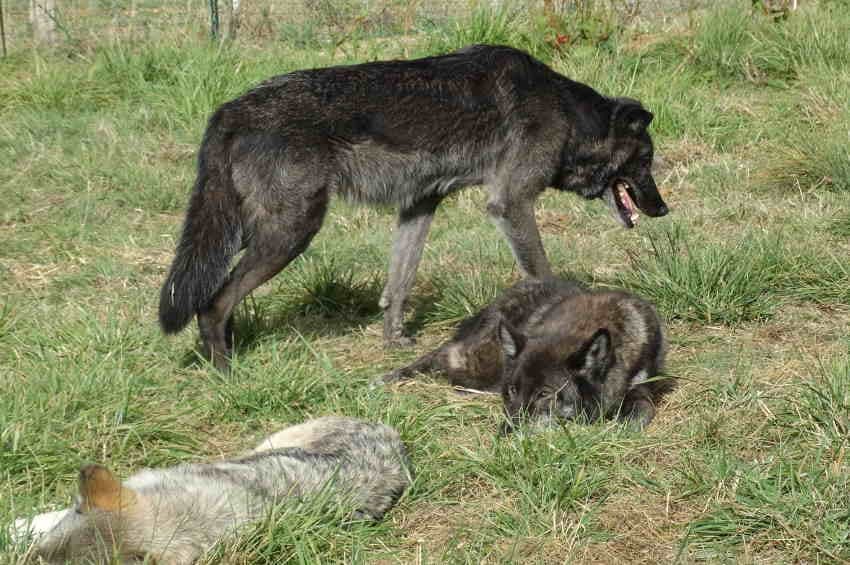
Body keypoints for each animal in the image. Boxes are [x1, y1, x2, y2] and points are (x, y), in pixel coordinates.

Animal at [158, 44, 669, 371]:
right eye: (646, 161)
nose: (662, 209)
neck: (564, 111)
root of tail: (230, 109)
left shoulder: (420, 206)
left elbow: (398, 283)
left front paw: (393, 339)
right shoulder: (511, 204)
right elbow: (542, 272)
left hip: (245, 231)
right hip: (289, 233)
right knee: (214, 302)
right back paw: (226, 371)